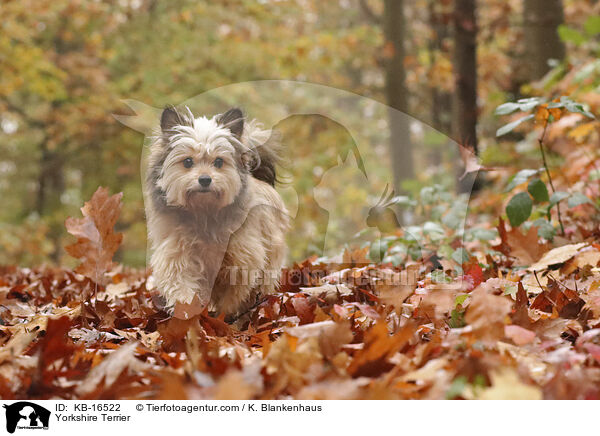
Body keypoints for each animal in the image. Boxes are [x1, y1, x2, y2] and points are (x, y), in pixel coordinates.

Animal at [144, 105, 288, 316]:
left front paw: (224, 316)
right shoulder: (177, 256)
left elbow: (232, 295)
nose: (205, 179)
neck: (204, 211)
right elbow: (182, 288)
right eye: (187, 162)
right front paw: (188, 314)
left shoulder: (242, 259)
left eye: (219, 162)